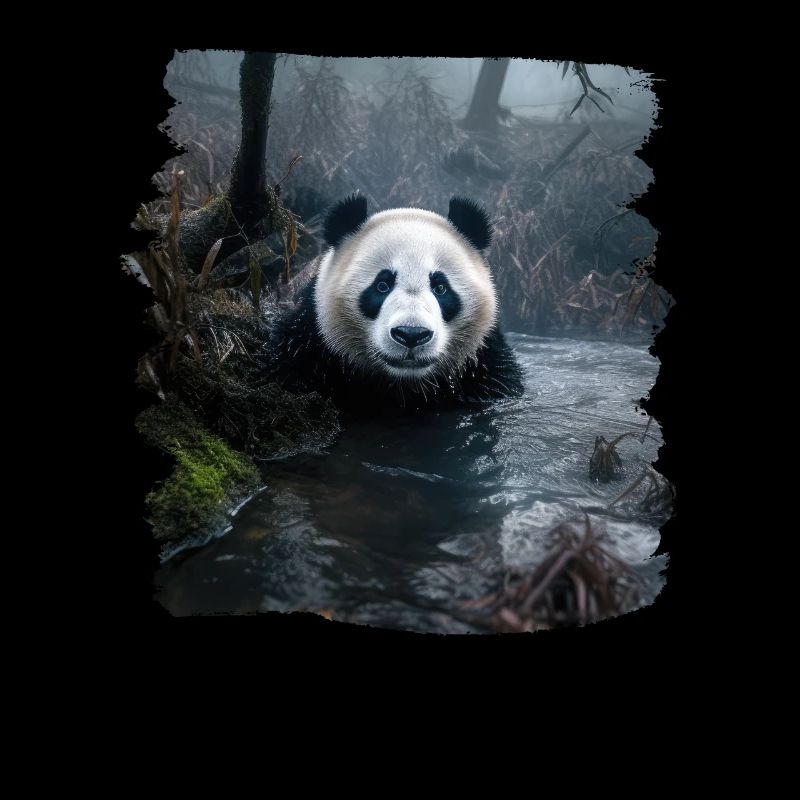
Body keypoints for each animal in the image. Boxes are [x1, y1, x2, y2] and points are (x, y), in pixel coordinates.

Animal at [269, 194, 523, 411]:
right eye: (382, 285)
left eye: (440, 288)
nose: (411, 334)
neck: (404, 387)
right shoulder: (308, 346)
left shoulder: (485, 365)